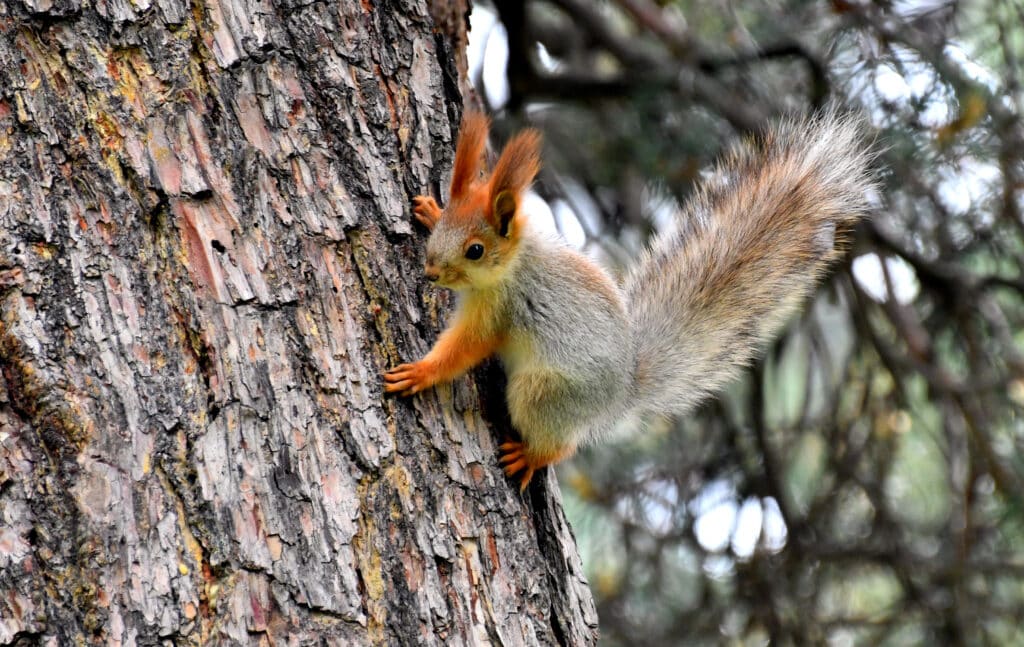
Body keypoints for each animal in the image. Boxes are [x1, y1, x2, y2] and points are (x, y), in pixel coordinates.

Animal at [385, 108, 872, 489]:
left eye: (476, 250)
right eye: (448, 221)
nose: (430, 272)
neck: (515, 263)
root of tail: (623, 392)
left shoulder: (499, 309)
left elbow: (465, 348)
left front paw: (421, 372)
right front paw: (427, 210)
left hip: (542, 392)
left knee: (561, 444)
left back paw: (532, 455)